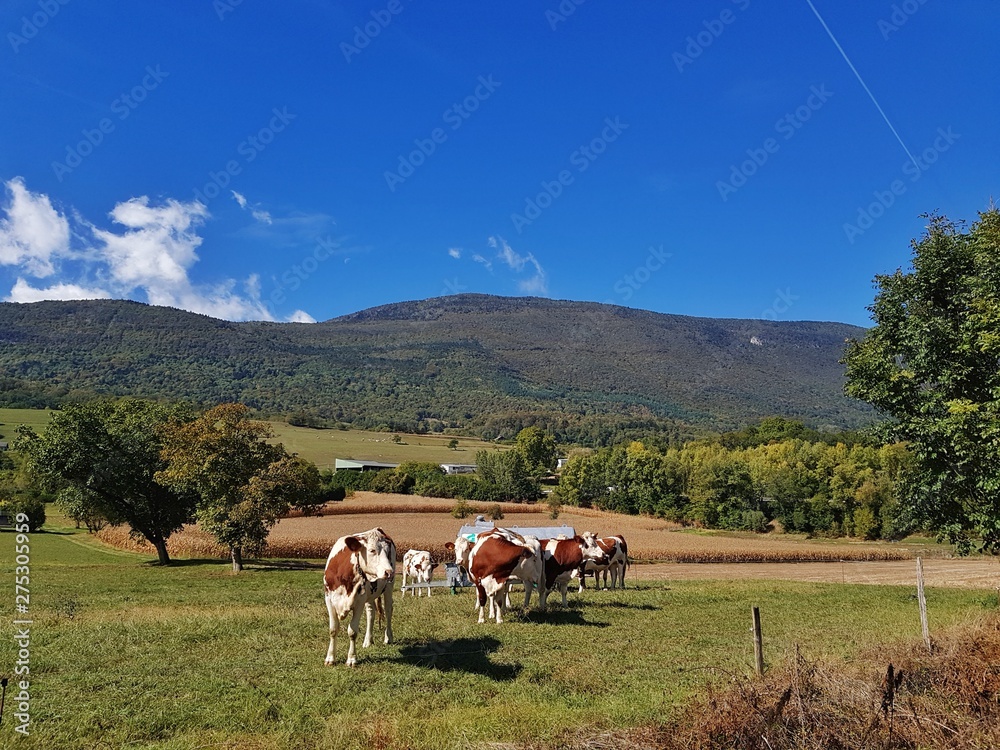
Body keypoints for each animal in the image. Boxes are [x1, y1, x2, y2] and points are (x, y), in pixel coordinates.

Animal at [323, 527, 396, 667]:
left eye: (387, 551)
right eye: (372, 550)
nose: (389, 572)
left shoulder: (359, 602)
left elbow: (352, 631)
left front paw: (352, 659)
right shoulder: (329, 599)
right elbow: (333, 629)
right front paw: (330, 658)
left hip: (388, 588)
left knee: (389, 610)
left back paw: (388, 637)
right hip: (369, 595)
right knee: (371, 613)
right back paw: (368, 640)